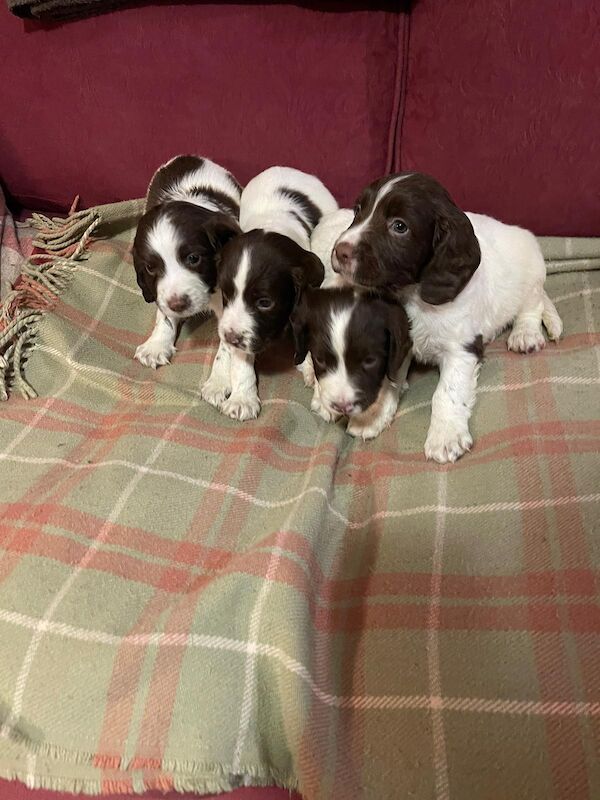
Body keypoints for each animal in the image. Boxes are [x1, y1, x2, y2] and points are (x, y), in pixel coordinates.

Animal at [132, 155, 241, 368]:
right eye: (150, 268)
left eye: (193, 258)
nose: (178, 305)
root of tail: (189, 157)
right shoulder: (161, 294)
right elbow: (164, 313)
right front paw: (156, 345)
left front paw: (220, 375)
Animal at [324, 175, 564, 462]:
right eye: (358, 210)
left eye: (399, 226)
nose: (340, 251)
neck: (412, 295)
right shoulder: (397, 341)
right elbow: (389, 380)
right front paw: (373, 415)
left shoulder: (461, 349)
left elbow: (446, 393)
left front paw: (445, 437)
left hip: (532, 275)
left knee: (532, 304)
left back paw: (525, 334)